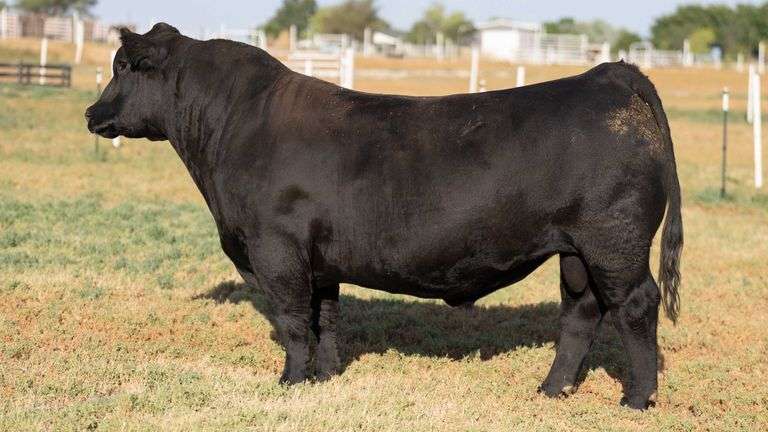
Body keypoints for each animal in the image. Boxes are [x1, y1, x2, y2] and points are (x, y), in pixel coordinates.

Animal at [86, 23, 683, 410]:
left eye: (123, 67)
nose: (91, 113)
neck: (234, 124)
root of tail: (608, 75)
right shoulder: (320, 261)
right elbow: (326, 319)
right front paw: (325, 377)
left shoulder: (275, 249)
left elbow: (293, 321)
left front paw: (290, 382)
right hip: (575, 250)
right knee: (581, 311)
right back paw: (553, 389)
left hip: (614, 243)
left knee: (635, 305)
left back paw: (637, 399)